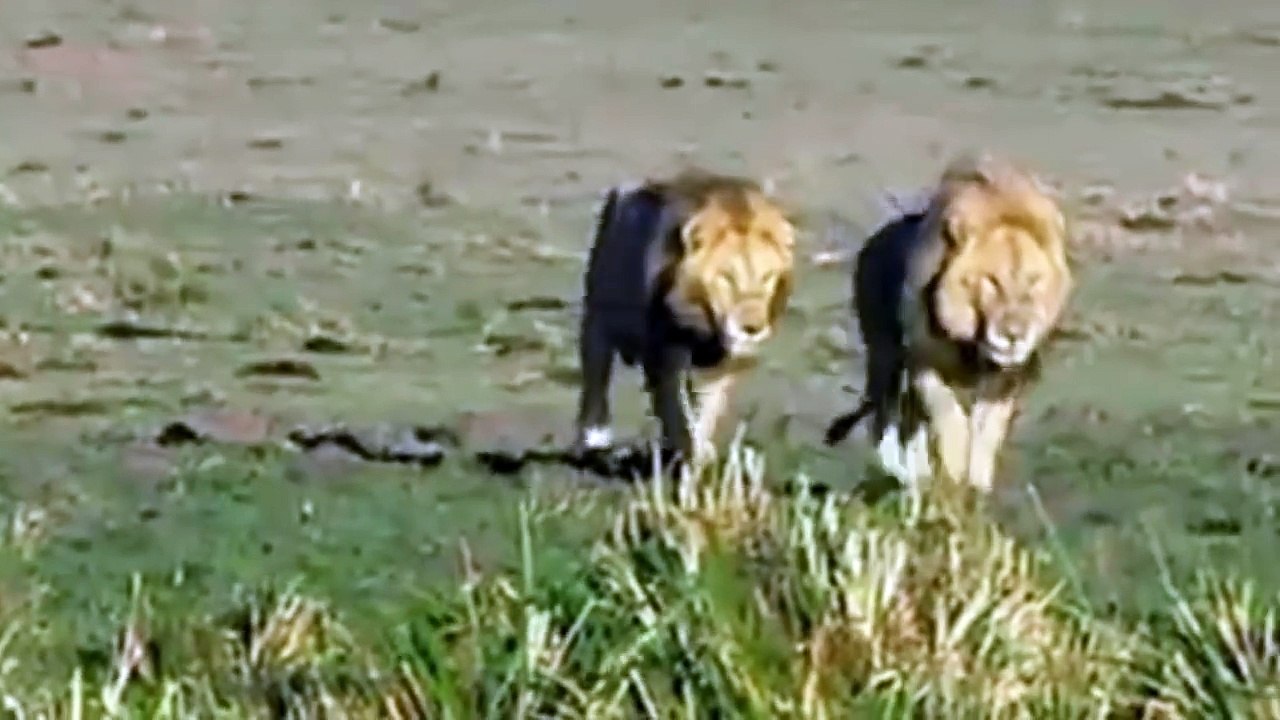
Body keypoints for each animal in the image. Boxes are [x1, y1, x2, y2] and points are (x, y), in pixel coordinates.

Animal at [573, 168, 796, 465]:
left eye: (767, 277)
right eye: (726, 277)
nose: (752, 328)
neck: (703, 323)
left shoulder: (719, 367)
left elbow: (705, 414)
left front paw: (699, 457)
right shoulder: (665, 355)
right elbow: (677, 412)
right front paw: (686, 453)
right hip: (597, 321)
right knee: (595, 381)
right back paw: (592, 438)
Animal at [824, 153, 1073, 492]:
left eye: (1034, 281)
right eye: (992, 281)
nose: (1014, 335)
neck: (974, 341)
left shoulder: (1005, 379)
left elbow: (986, 433)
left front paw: (975, 486)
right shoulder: (924, 361)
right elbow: (950, 418)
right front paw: (953, 472)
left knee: (908, 420)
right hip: (884, 359)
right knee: (884, 419)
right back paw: (902, 474)